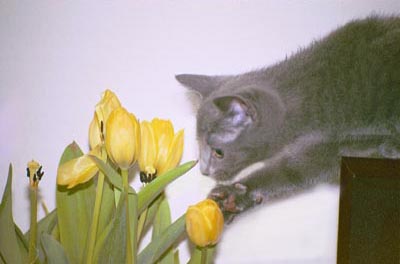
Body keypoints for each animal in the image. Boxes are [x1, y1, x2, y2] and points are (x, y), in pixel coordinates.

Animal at [176, 16, 400, 223]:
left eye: (219, 152)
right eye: (198, 144)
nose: (204, 171)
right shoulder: (323, 146)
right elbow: (297, 168)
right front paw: (238, 195)